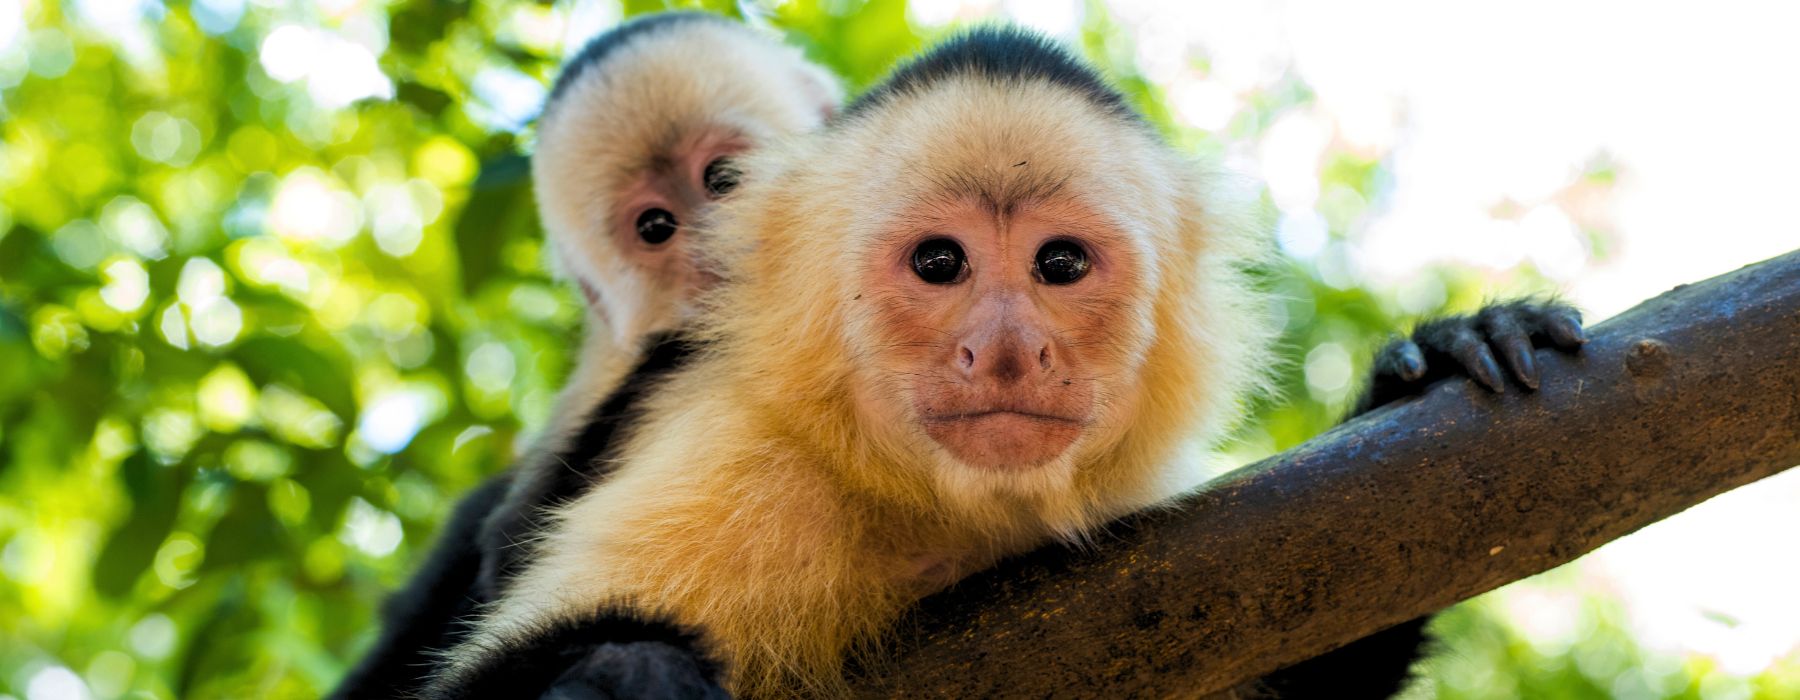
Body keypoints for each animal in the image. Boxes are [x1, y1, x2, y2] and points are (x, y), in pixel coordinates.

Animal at [423, 27, 1588, 699]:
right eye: (939, 263)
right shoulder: (743, 463)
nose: (1008, 348)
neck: (942, 511)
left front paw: (1429, 365)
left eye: (1058, 263)